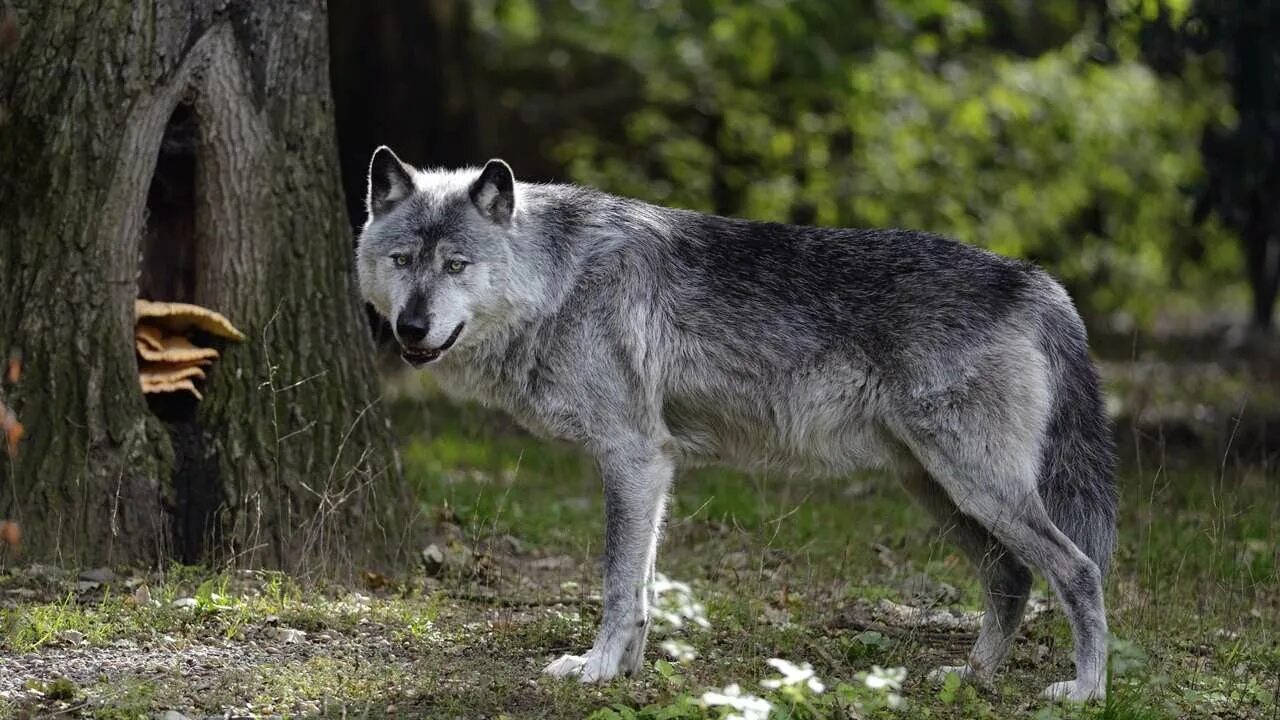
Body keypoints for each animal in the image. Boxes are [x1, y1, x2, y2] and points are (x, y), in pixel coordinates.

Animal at [355, 142, 1116, 696]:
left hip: (976, 486)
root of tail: (1037, 281)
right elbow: (642, 587)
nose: (411, 328)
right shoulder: (654, 466)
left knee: (1078, 571)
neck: (560, 282)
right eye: (402, 260)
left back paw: (1085, 692)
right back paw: (974, 679)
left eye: (457, 265)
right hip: (938, 490)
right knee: (1011, 579)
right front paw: (626, 671)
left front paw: (595, 670)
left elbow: (616, 582)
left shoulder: (632, 456)